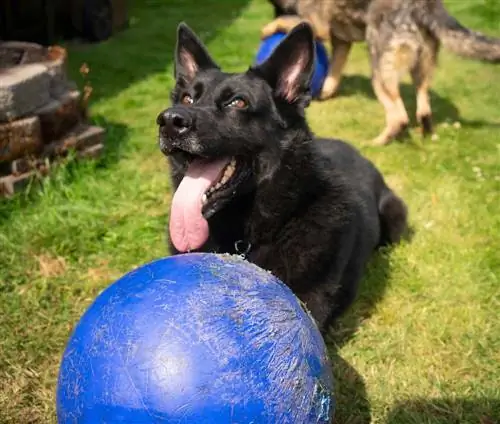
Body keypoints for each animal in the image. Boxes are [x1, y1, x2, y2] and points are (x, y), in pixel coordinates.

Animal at [262, 0, 500, 145]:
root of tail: (426, 4)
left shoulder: (317, 26)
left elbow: (291, 22)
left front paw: (269, 27)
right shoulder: (341, 42)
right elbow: (334, 73)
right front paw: (326, 93)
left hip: (379, 71)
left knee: (399, 117)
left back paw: (376, 143)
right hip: (421, 67)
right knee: (423, 108)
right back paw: (425, 135)